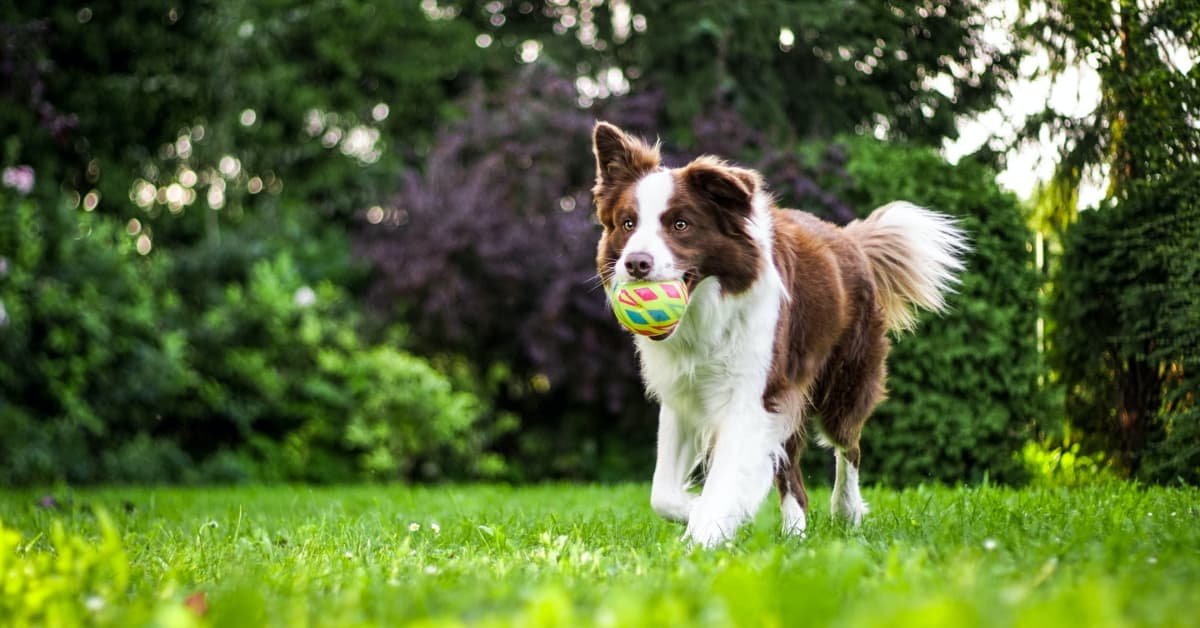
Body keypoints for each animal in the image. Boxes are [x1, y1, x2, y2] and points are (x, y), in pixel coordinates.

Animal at [595, 121, 969, 545]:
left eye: (680, 225)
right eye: (628, 224)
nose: (636, 263)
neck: (706, 312)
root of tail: (850, 239)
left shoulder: (753, 394)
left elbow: (726, 478)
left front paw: (705, 533)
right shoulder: (684, 395)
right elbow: (662, 494)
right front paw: (702, 512)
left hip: (843, 382)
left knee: (848, 446)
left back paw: (846, 511)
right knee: (792, 473)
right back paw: (795, 533)